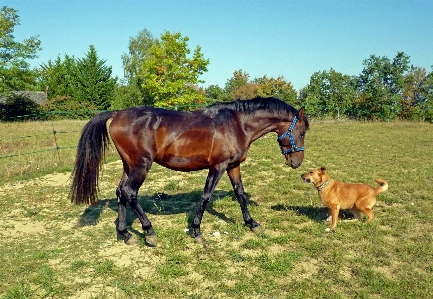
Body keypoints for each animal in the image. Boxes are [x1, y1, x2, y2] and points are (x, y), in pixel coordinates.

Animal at [70, 97, 308, 247]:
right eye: (303, 132)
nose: (296, 162)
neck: (238, 124)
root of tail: (118, 114)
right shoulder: (218, 167)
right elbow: (205, 197)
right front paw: (197, 233)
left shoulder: (233, 166)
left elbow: (240, 194)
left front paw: (252, 224)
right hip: (141, 166)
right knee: (130, 193)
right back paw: (149, 232)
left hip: (129, 166)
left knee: (121, 193)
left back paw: (126, 234)